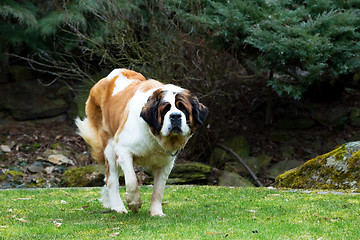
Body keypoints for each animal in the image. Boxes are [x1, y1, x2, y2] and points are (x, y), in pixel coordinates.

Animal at [76, 68, 208, 216]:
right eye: (165, 110)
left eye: (183, 108)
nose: (175, 116)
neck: (154, 136)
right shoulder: (123, 150)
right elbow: (132, 181)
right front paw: (134, 203)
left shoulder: (166, 163)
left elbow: (158, 190)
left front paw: (156, 212)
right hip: (109, 146)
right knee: (112, 180)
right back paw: (118, 207)